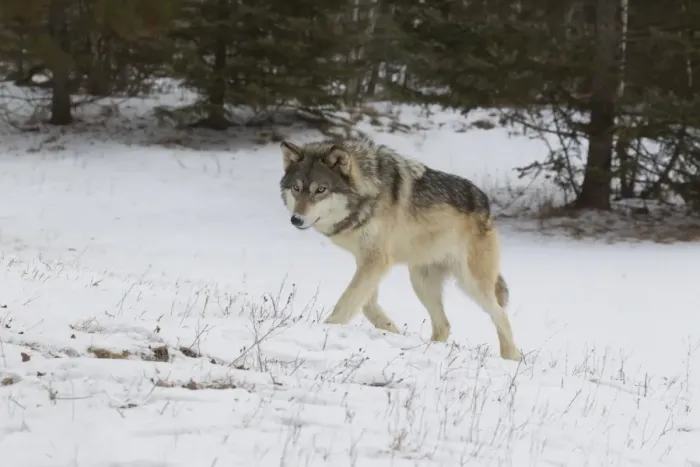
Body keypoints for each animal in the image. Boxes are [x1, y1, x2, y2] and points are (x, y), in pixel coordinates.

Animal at [278, 137, 522, 361]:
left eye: (320, 190)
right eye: (296, 188)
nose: (296, 219)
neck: (370, 192)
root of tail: (486, 204)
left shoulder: (376, 260)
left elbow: (347, 301)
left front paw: (327, 328)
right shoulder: (367, 260)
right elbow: (365, 304)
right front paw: (391, 329)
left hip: (471, 284)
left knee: (501, 317)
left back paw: (511, 358)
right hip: (421, 281)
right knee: (443, 325)